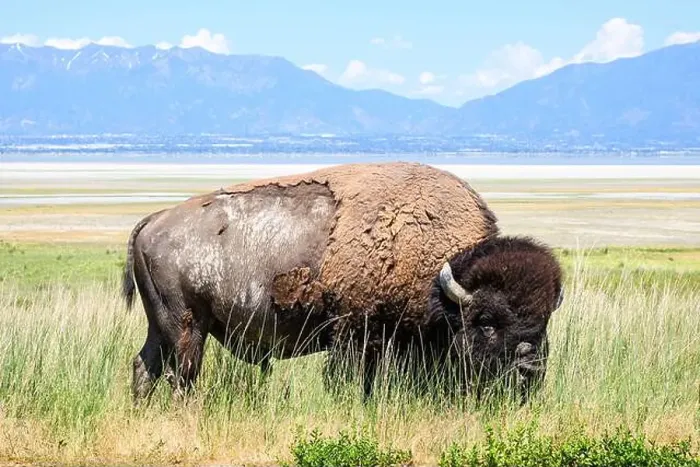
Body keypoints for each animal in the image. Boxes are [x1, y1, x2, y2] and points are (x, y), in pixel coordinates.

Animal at [122, 162, 563, 402]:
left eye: (543, 323)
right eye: (486, 322)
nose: (530, 370)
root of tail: (153, 219)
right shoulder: (354, 334)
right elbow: (348, 380)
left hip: (160, 326)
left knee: (146, 366)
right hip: (187, 326)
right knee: (182, 374)